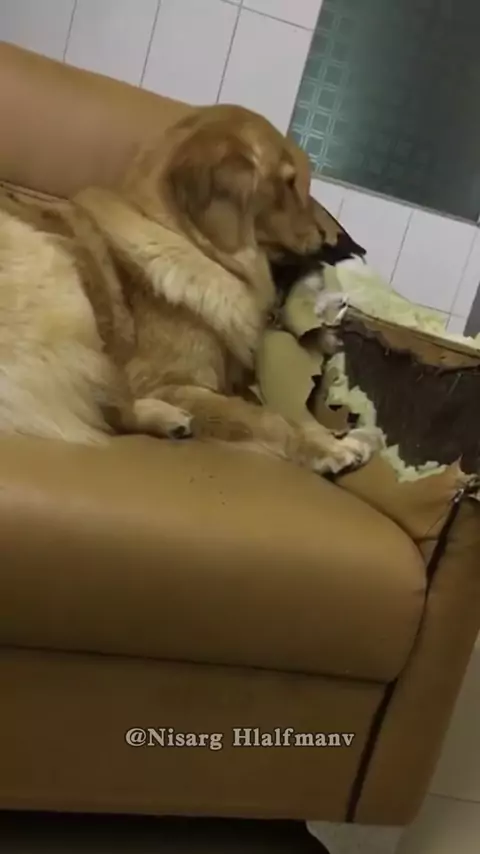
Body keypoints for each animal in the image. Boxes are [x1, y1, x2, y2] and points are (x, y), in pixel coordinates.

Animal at [0, 104, 380, 475]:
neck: (189, 243)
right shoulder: (162, 381)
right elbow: (266, 417)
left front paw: (333, 434)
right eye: (287, 183)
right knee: (104, 405)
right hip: (63, 286)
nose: (330, 237)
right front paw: (325, 447)